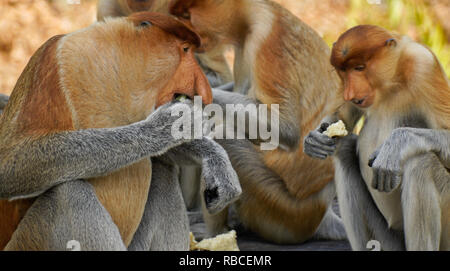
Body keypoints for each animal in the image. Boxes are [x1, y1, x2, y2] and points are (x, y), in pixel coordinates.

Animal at [0, 12, 243, 251]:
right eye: (185, 50)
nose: (205, 91)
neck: (115, 68)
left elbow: (162, 154)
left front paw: (215, 158)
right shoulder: (49, 63)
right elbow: (12, 163)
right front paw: (169, 126)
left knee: (162, 168)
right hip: (29, 240)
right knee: (68, 195)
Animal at [167, 0, 346, 244]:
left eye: (187, 16)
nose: (188, 40)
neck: (251, 14)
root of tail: (322, 217)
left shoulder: (267, 39)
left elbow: (285, 128)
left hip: (279, 211)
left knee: (225, 137)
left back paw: (215, 232)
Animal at [304, 25, 448, 251]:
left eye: (359, 68)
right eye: (343, 72)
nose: (349, 92)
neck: (393, 78)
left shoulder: (424, 67)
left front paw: (394, 146)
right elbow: (344, 115)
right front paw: (315, 139)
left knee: (421, 164)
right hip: (389, 240)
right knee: (344, 150)